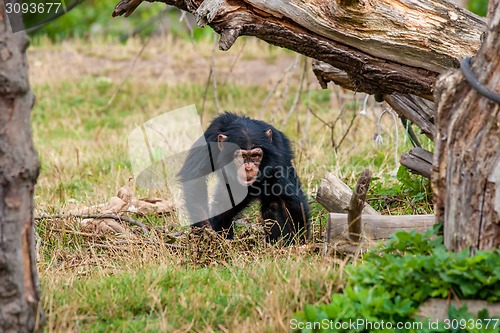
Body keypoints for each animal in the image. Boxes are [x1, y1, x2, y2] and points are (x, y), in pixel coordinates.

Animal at [176, 112, 308, 244]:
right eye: (242, 156)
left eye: (255, 156)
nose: (248, 168)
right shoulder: (209, 140)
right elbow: (195, 176)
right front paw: (204, 228)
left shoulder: (279, 156)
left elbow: (289, 198)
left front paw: (299, 242)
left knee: (273, 205)